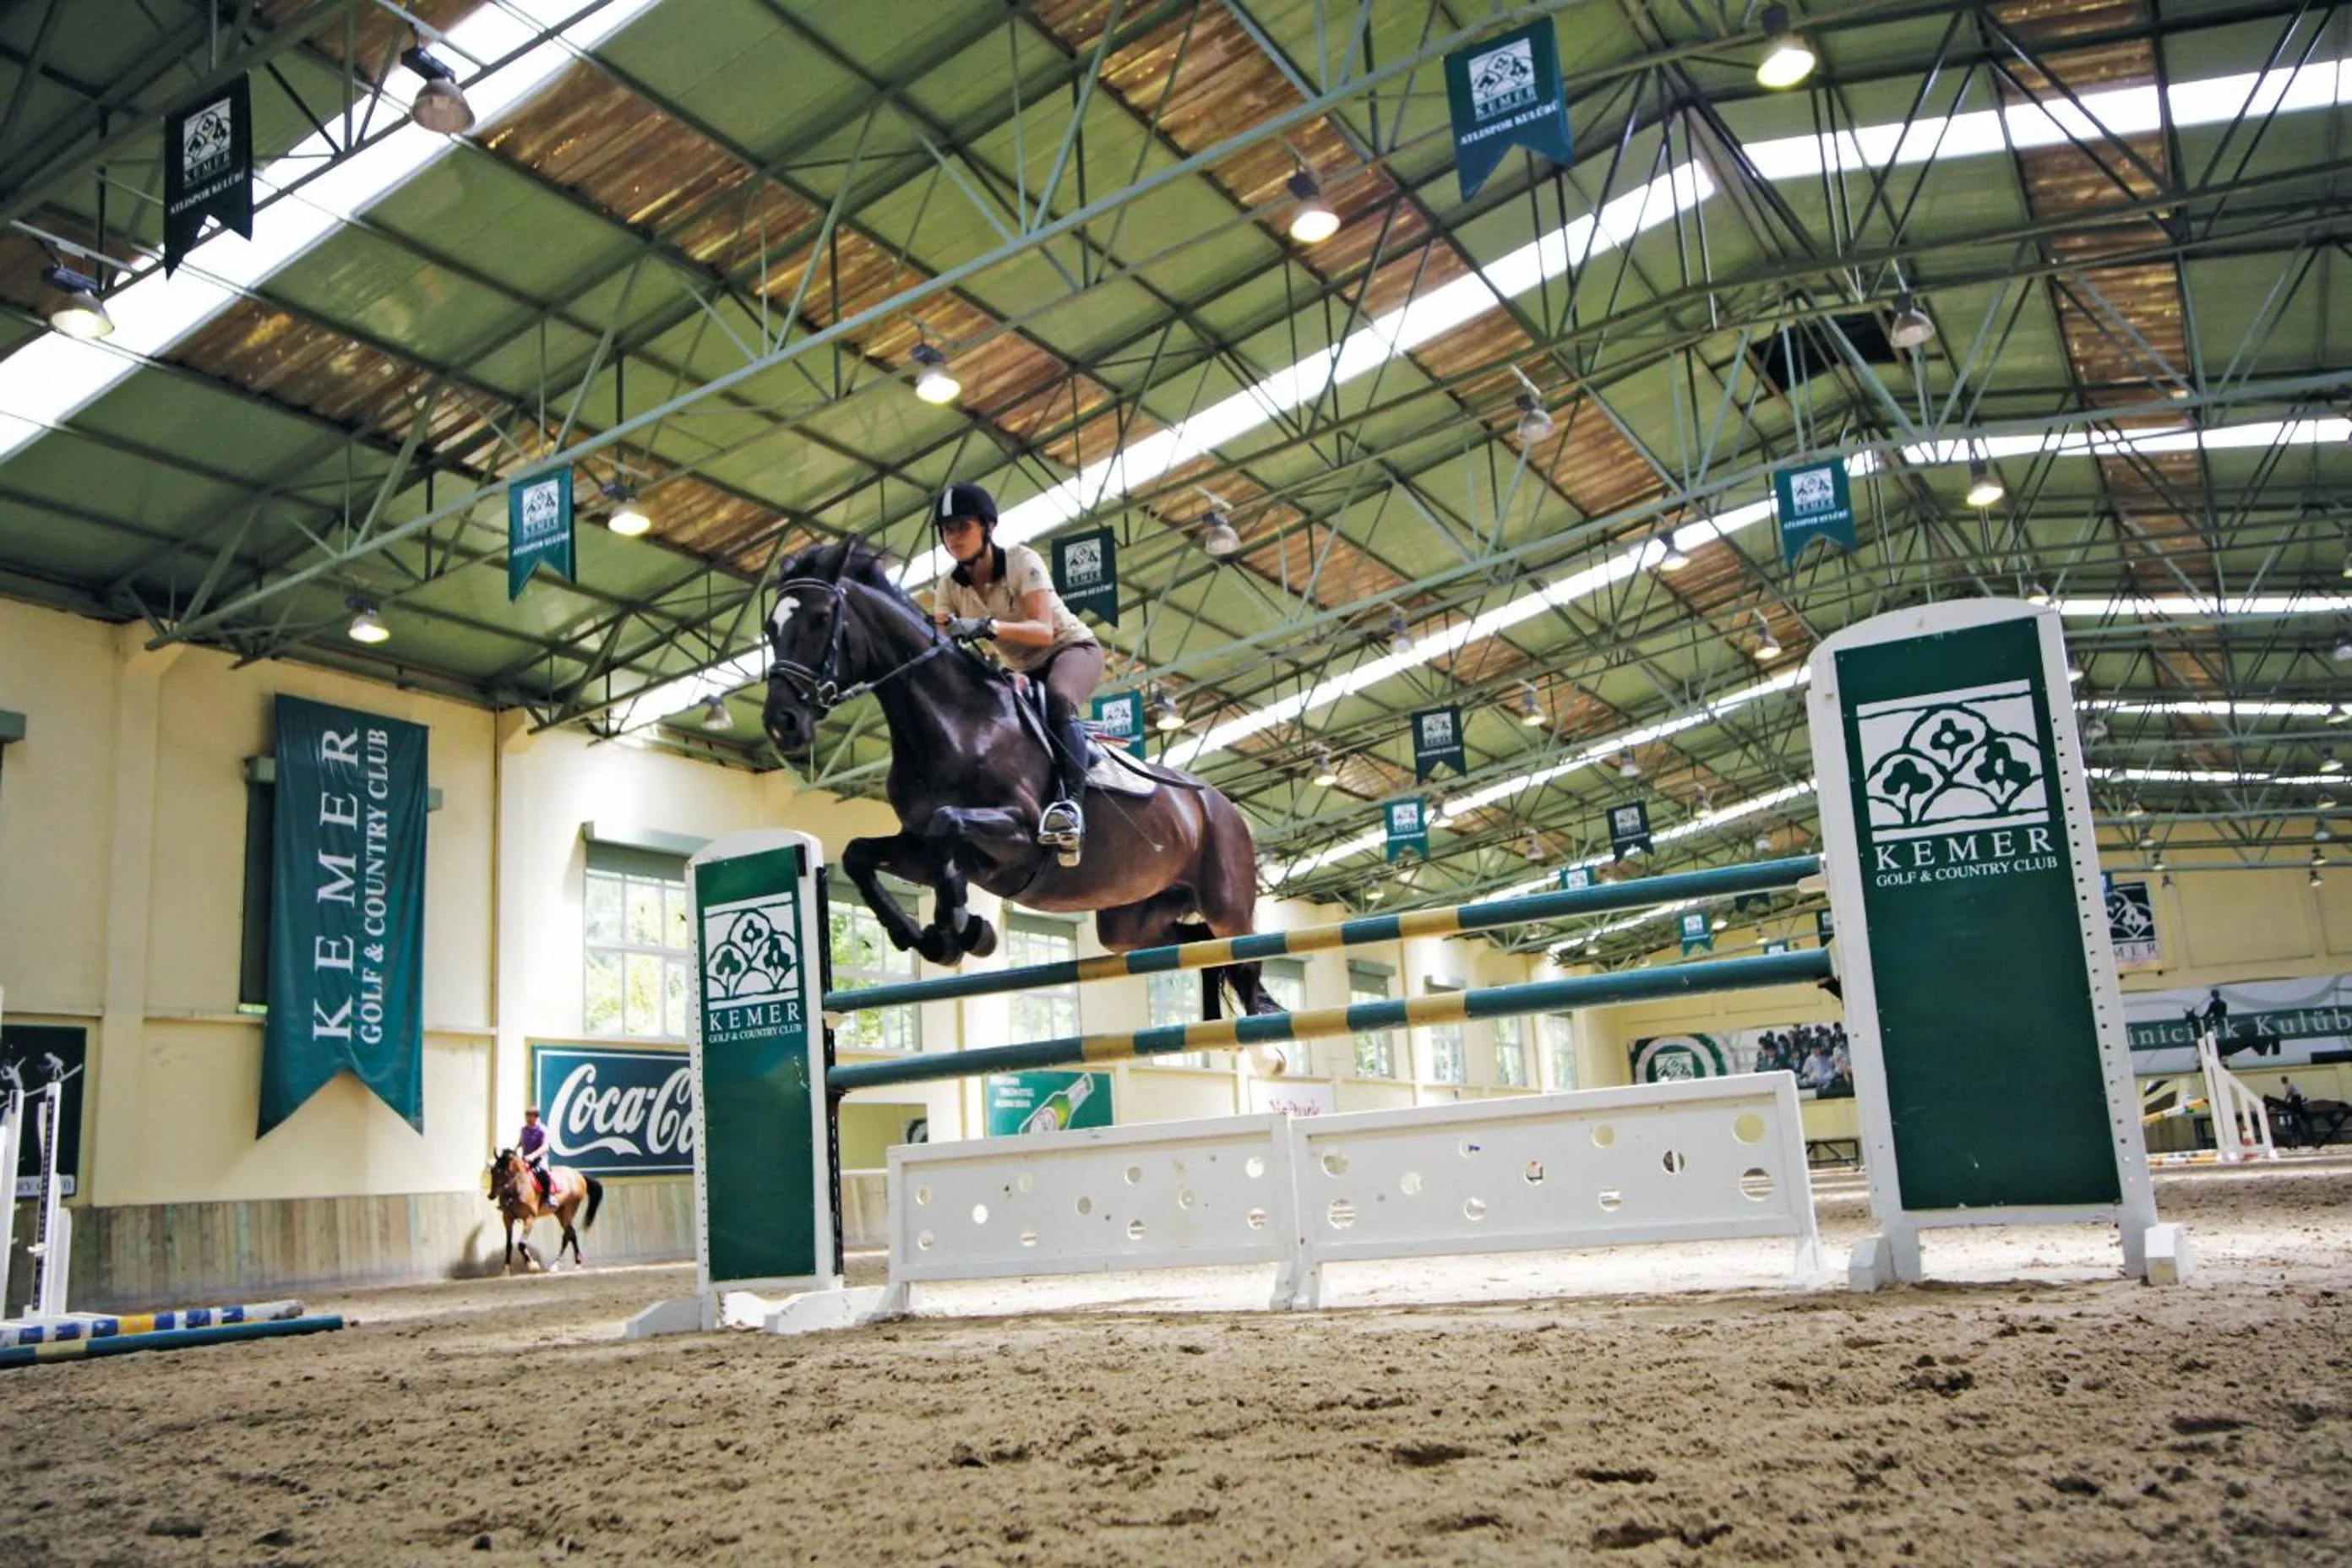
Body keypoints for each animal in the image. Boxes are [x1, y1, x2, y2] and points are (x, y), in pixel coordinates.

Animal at [488, 1149, 604, 1272]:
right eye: (492, 1171)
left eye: (501, 1171)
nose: (490, 1195)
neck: (518, 1186)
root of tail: (578, 1174)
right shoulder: (507, 1218)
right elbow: (509, 1244)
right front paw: (506, 1269)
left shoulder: (530, 1218)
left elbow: (521, 1244)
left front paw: (532, 1265)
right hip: (560, 1212)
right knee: (571, 1233)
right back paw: (572, 1263)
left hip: (570, 1208)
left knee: (567, 1235)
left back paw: (560, 1264)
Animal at [759, 540, 1281, 1026]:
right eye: (770, 629)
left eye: (821, 618)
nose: (781, 723)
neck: (952, 724)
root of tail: (1225, 807)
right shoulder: (918, 847)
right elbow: (860, 854)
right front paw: (932, 935)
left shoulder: (1022, 835)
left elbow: (947, 825)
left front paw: (958, 927)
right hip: (1131, 919)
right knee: (1196, 946)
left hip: (1228, 907)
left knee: (1244, 966)